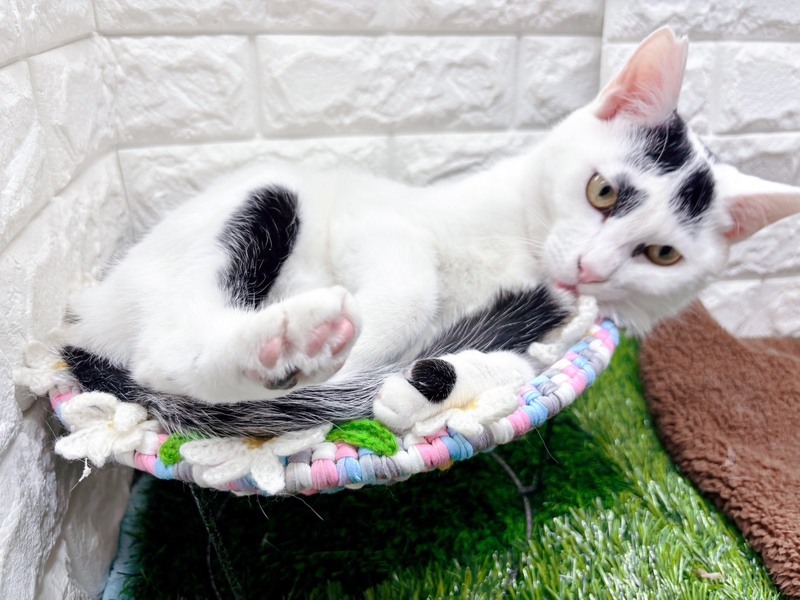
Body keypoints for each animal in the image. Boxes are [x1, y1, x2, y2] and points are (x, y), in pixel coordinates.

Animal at [61, 27, 800, 438]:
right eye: (604, 192)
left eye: (662, 254)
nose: (590, 269)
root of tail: (81, 319)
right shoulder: (379, 220)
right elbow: (410, 290)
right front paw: (361, 368)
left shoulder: (557, 335)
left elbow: (506, 363)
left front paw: (423, 385)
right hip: (264, 201)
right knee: (164, 358)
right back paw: (296, 348)